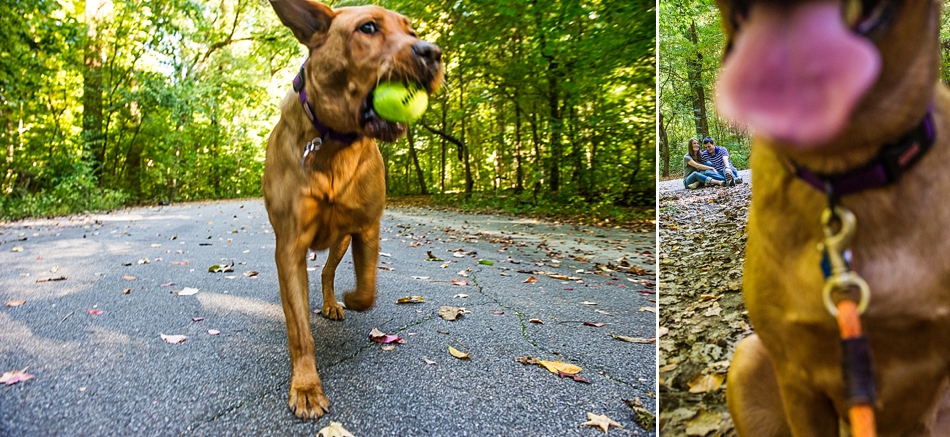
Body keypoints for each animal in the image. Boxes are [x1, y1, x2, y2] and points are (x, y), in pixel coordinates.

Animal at [264, 0, 442, 422]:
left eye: (412, 31)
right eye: (368, 28)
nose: (432, 53)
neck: (333, 143)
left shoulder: (366, 227)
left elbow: (368, 289)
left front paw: (351, 298)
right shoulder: (289, 247)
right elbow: (299, 329)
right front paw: (306, 387)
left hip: (340, 242)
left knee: (328, 273)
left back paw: (332, 302)